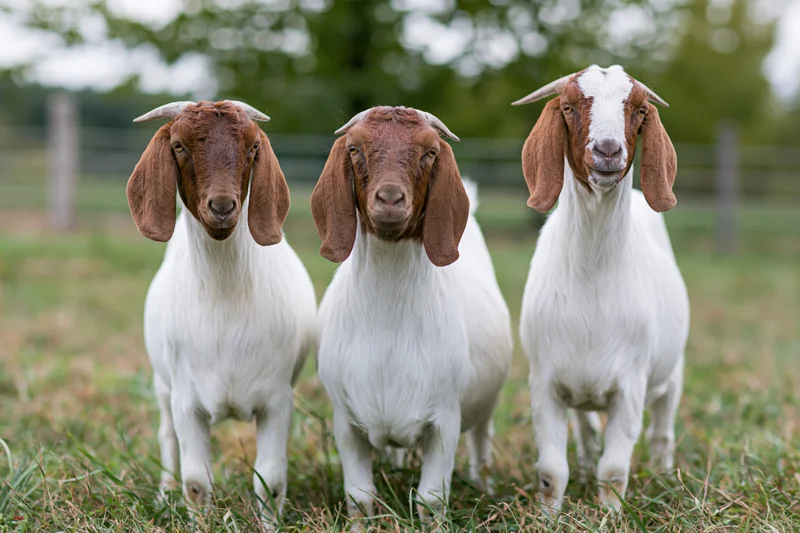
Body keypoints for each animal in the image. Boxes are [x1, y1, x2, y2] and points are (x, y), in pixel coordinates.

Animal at [126, 100, 317, 525]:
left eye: (252, 148)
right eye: (178, 146)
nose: (223, 207)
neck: (225, 298)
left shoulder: (278, 398)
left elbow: (270, 480)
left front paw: (270, 525)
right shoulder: (185, 398)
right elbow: (196, 482)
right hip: (161, 385)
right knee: (167, 439)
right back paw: (163, 494)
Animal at [310, 106, 512, 525]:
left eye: (430, 152)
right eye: (354, 148)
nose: (389, 198)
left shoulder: (445, 420)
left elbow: (431, 499)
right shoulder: (345, 420)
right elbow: (358, 496)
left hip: (485, 405)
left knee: (482, 441)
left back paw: (484, 486)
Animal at [512, 65, 689, 512]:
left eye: (639, 110)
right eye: (569, 107)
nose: (608, 150)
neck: (591, 277)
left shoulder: (631, 385)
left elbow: (613, 470)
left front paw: (609, 515)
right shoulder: (545, 383)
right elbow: (551, 471)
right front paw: (549, 516)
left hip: (673, 372)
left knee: (663, 431)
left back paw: (664, 476)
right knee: (587, 429)